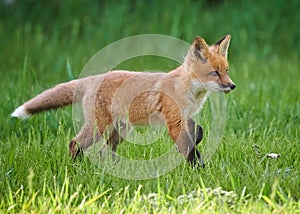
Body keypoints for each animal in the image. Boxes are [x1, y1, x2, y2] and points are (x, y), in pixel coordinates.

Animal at [11, 35, 237, 166]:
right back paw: (76, 168)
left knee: (104, 151)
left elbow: (197, 133)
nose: (232, 86)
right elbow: (187, 147)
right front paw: (196, 170)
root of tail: (90, 78)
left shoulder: (183, 116)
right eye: (214, 73)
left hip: (120, 131)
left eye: (226, 71)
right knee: (75, 144)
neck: (188, 89)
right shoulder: (174, 120)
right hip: (98, 128)